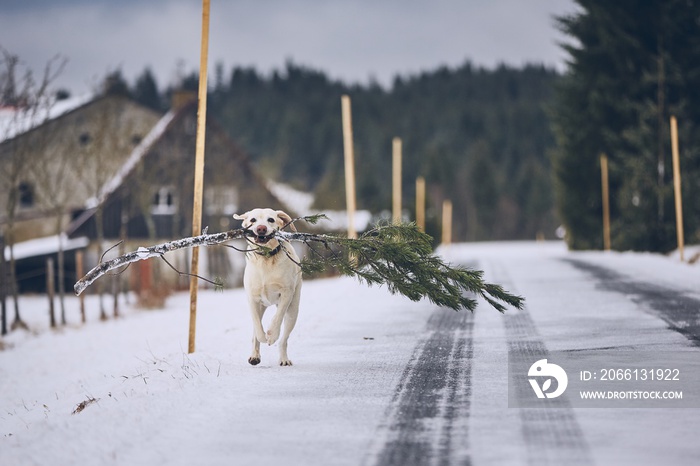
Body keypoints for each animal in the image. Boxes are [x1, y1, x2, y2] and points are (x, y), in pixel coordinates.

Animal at [234, 209, 302, 366]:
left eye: (270, 219)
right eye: (252, 220)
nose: (261, 229)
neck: (266, 258)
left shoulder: (286, 293)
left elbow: (277, 318)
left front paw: (271, 335)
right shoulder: (252, 298)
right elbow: (257, 327)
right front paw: (263, 337)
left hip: (293, 311)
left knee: (284, 339)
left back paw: (284, 359)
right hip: (261, 306)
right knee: (255, 329)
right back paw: (254, 356)